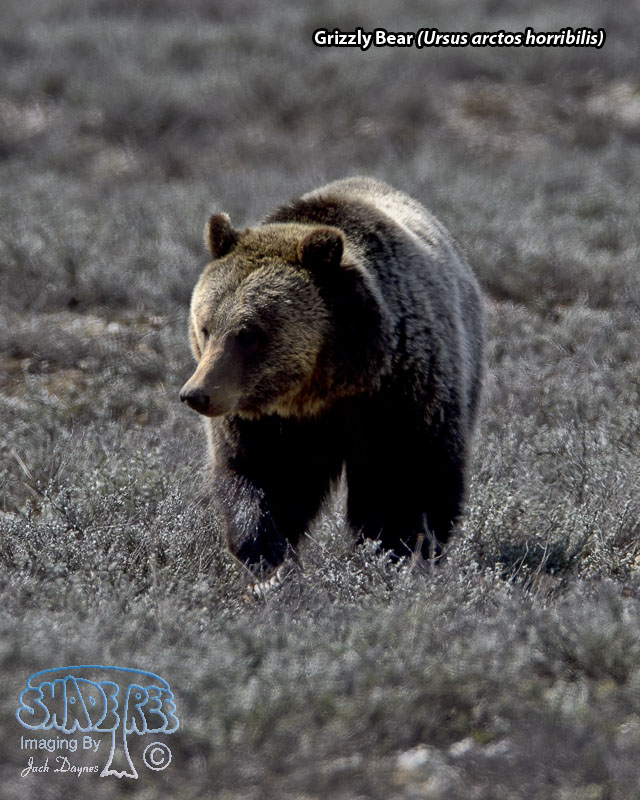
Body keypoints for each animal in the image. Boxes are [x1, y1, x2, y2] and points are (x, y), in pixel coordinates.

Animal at [180, 177, 484, 577]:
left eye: (248, 334)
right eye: (205, 327)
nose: (197, 393)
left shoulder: (401, 393)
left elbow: (407, 478)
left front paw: (401, 550)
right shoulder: (266, 422)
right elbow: (260, 477)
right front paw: (268, 558)